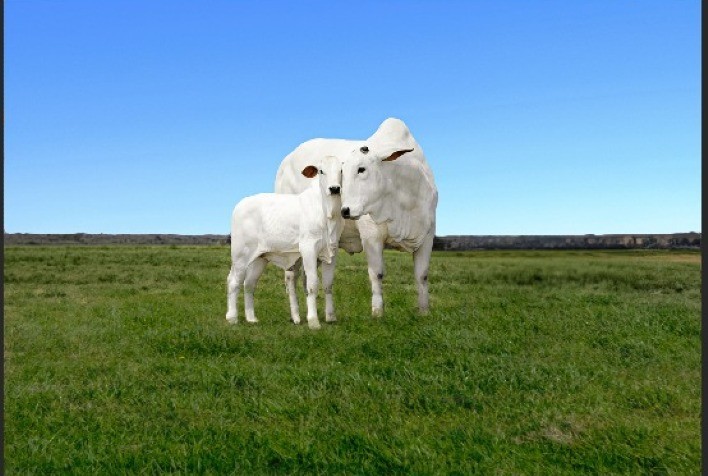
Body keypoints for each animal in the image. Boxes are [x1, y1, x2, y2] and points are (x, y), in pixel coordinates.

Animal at [226, 155, 344, 329]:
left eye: (342, 170)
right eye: (321, 171)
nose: (334, 188)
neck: (329, 213)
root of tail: (241, 204)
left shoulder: (332, 251)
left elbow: (328, 284)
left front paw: (331, 317)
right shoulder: (308, 249)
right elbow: (312, 284)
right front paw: (313, 321)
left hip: (260, 258)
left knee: (249, 284)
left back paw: (251, 318)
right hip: (240, 255)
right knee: (234, 282)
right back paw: (232, 318)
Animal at [274, 118, 437, 317]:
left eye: (361, 169)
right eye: (342, 171)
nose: (345, 210)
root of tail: (286, 161)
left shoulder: (427, 235)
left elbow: (422, 275)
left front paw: (424, 311)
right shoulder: (371, 236)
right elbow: (377, 274)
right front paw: (378, 312)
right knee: (290, 276)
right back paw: (295, 315)